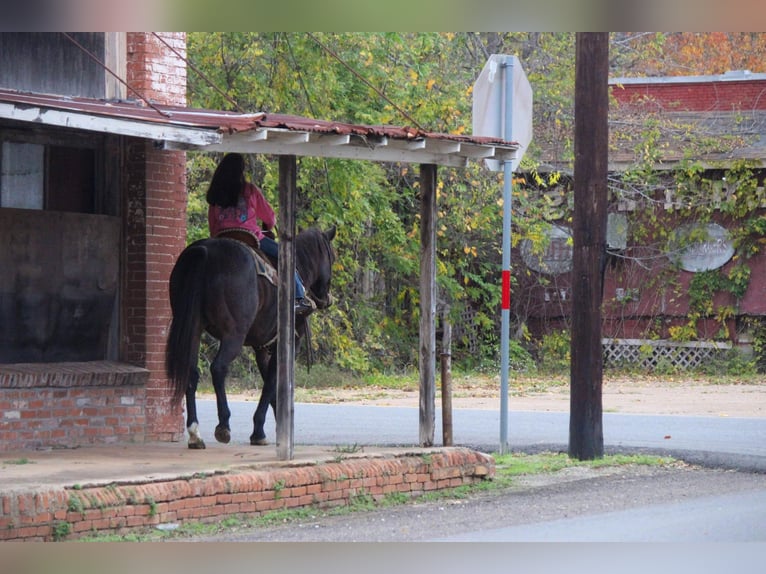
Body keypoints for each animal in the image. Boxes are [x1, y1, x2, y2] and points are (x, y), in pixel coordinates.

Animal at [165, 226, 336, 450]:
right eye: (332, 257)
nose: (326, 299)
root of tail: (206, 251)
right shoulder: (287, 344)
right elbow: (271, 382)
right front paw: (260, 432)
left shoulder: (262, 347)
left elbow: (270, 383)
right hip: (234, 334)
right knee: (218, 368)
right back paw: (223, 425)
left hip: (193, 327)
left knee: (191, 372)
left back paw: (195, 434)